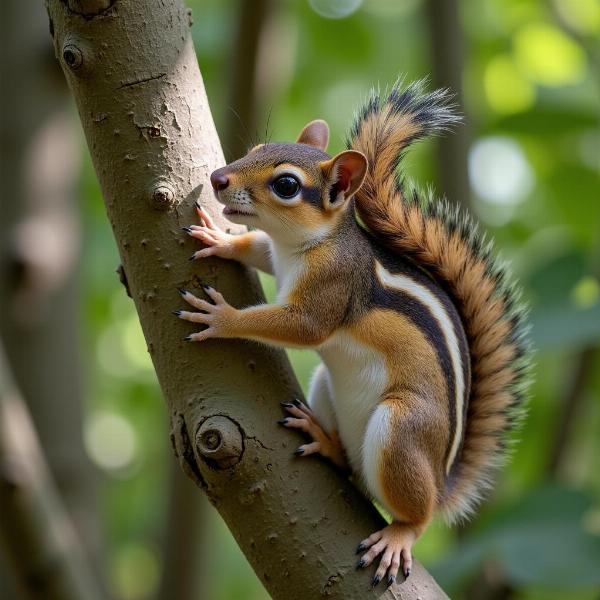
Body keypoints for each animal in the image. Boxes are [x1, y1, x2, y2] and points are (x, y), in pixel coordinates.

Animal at [173, 78, 528, 584]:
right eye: (256, 149)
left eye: (286, 185)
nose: (219, 178)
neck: (303, 246)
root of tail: (442, 483)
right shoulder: (276, 258)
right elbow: (256, 249)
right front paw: (222, 240)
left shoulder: (331, 290)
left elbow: (303, 327)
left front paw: (221, 318)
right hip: (327, 387)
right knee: (349, 464)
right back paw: (323, 439)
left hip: (402, 429)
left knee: (416, 513)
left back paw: (399, 533)